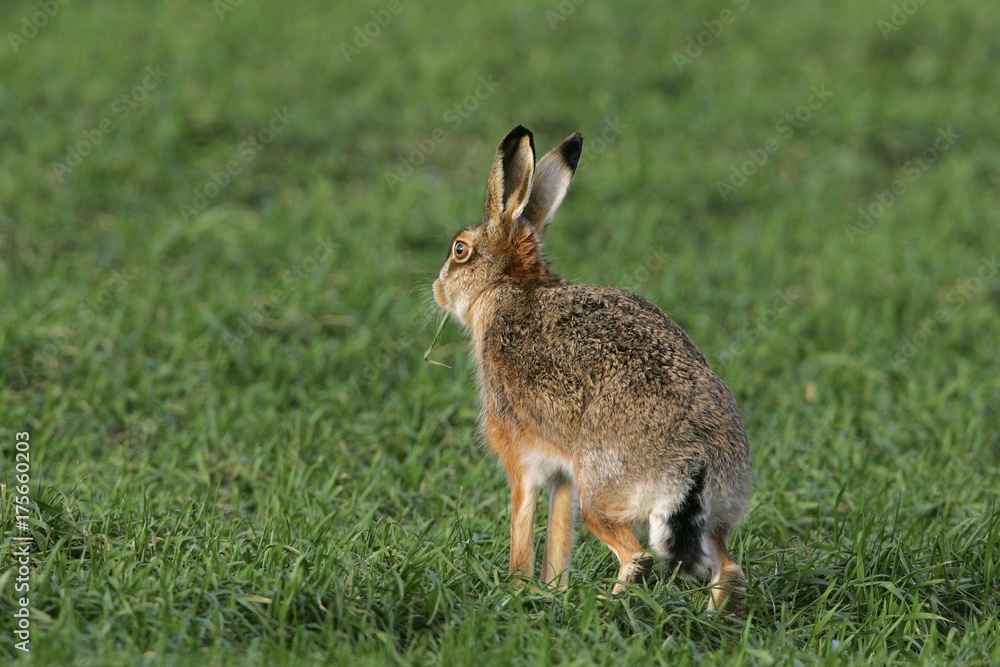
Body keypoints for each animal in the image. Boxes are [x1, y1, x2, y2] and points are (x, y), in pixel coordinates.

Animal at [432, 126, 752, 613]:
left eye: (460, 249)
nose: (436, 289)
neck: (508, 288)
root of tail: (696, 464)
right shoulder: (564, 476)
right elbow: (559, 535)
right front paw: (553, 589)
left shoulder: (521, 460)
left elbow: (524, 528)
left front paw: (519, 589)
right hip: (714, 514)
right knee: (728, 568)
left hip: (601, 494)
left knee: (637, 557)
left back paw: (604, 605)